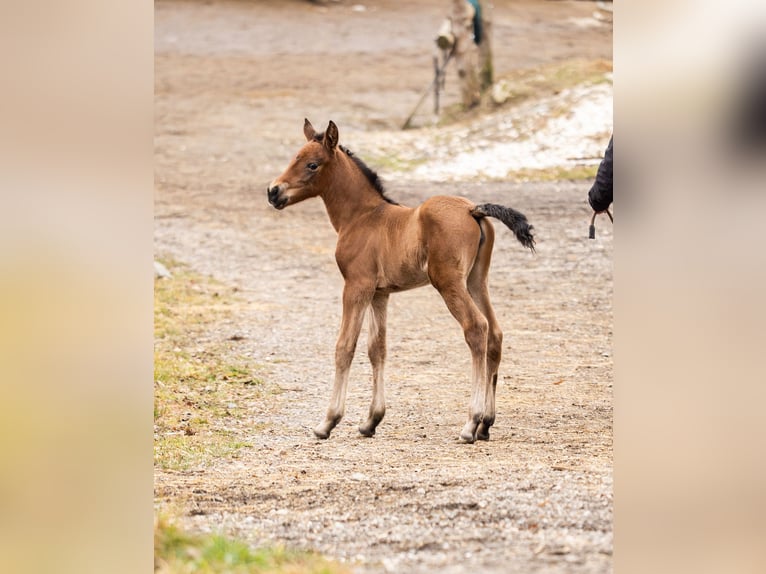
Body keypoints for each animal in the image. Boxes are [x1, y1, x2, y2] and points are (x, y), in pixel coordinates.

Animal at [267, 119, 535, 443]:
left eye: (312, 164)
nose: (273, 192)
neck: (362, 216)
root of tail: (473, 209)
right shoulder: (380, 294)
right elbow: (377, 348)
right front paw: (371, 420)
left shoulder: (356, 286)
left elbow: (345, 347)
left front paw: (328, 422)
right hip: (475, 280)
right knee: (495, 333)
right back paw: (486, 424)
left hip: (448, 282)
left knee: (476, 328)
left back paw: (471, 423)